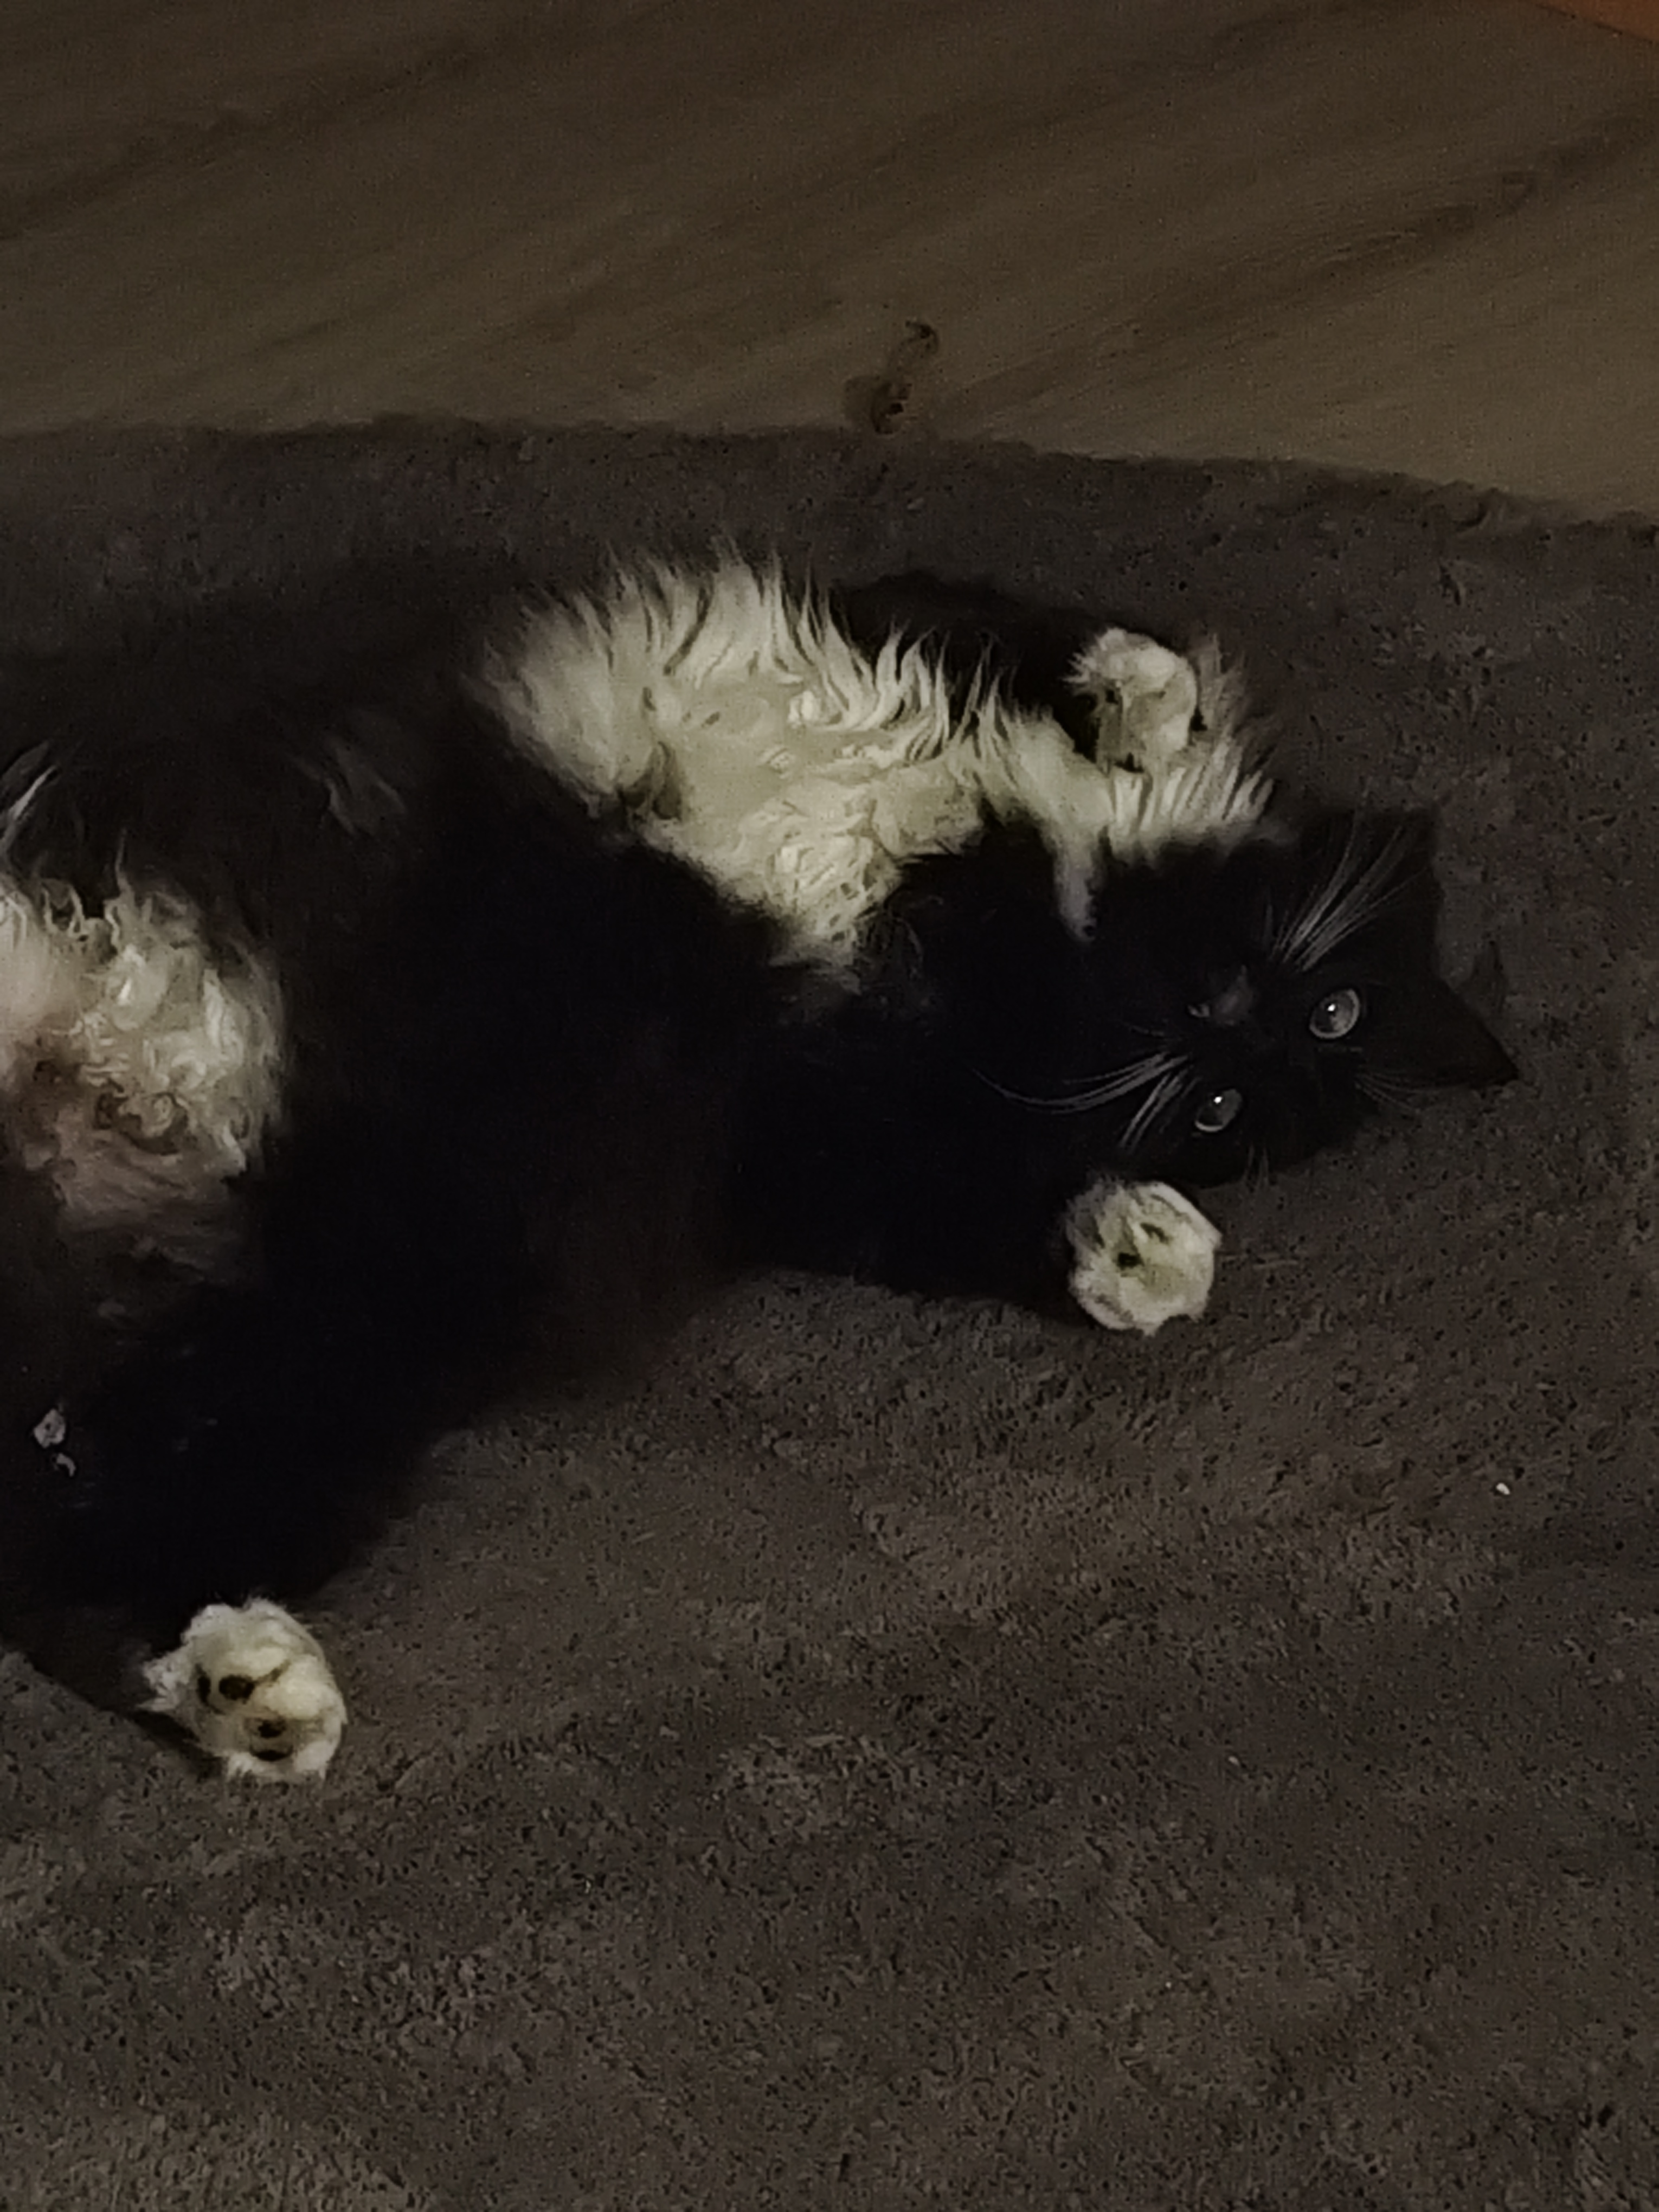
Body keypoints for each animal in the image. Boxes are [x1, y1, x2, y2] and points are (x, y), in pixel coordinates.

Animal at [0, 559, 1514, 1779]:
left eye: (1221, 1111)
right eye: (1332, 1008)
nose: (1236, 1022)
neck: (1026, 913)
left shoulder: (805, 1134)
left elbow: (972, 1202)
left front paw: (1145, 1250)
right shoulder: (901, 623)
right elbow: (1076, 641)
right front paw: (1142, 709)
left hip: (329, 1372)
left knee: (74, 1568)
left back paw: (258, 1699)